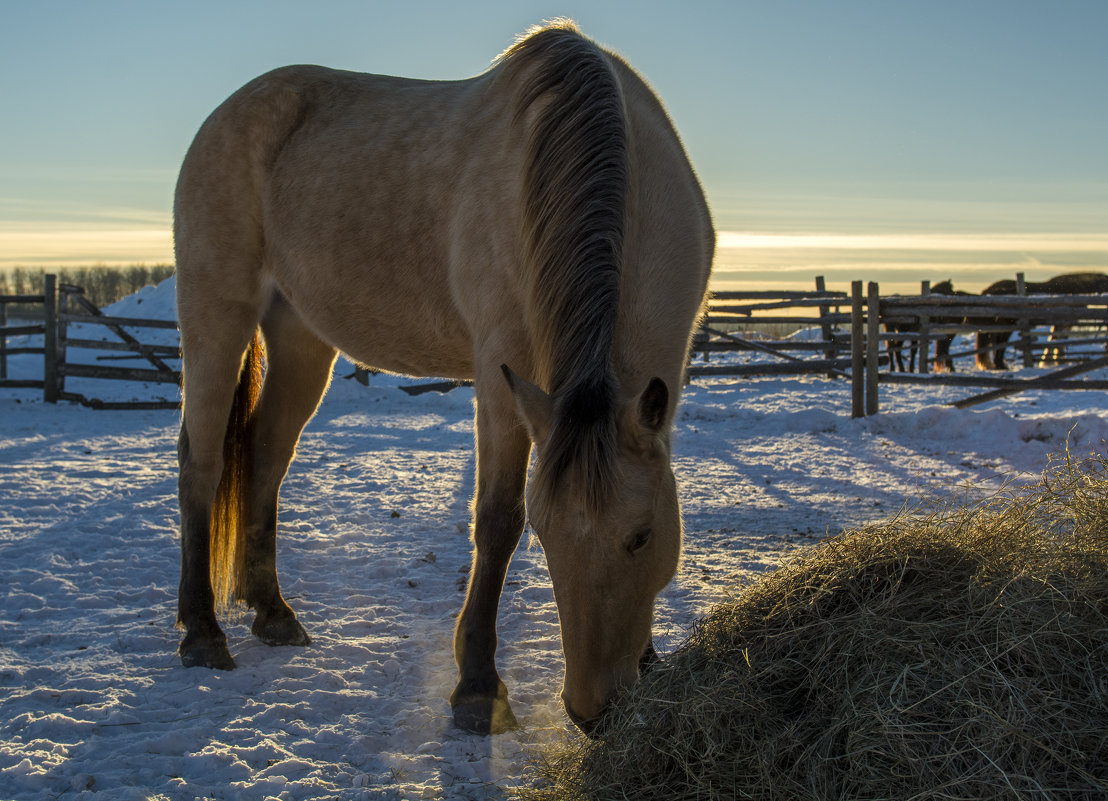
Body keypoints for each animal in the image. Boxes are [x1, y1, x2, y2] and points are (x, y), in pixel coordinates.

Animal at [169, 18, 713, 735]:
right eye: (547, 536)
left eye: (642, 536)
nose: (593, 711)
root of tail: (227, 114)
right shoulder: (501, 374)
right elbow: (497, 520)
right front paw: (477, 686)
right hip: (217, 314)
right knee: (201, 461)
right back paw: (202, 632)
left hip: (300, 335)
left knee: (266, 452)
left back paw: (273, 614)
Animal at [979, 271, 1108, 367]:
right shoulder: (1063, 322)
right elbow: (1056, 341)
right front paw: (1050, 361)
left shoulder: (1064, 324)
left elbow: (1057, 341)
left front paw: (1054, 361)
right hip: (1006, 326)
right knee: (1000, 345)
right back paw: (1001, 366)